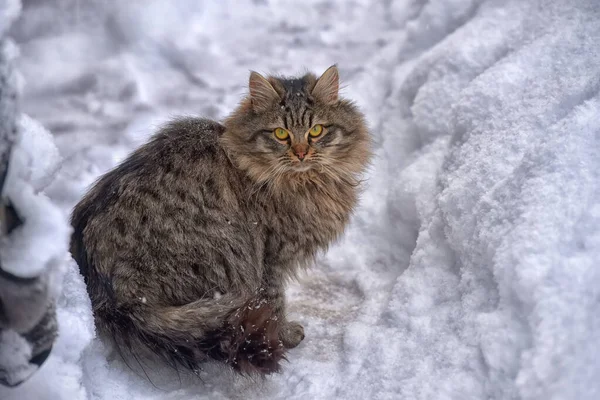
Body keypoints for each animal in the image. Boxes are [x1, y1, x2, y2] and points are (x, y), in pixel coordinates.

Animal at [69, 65, 370, 376]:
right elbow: (275, 303)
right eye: (280, 133)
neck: (305, 182)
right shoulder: (270, 258)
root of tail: (111, 296)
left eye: (316, 130)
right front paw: (285, 335)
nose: (300, 153)